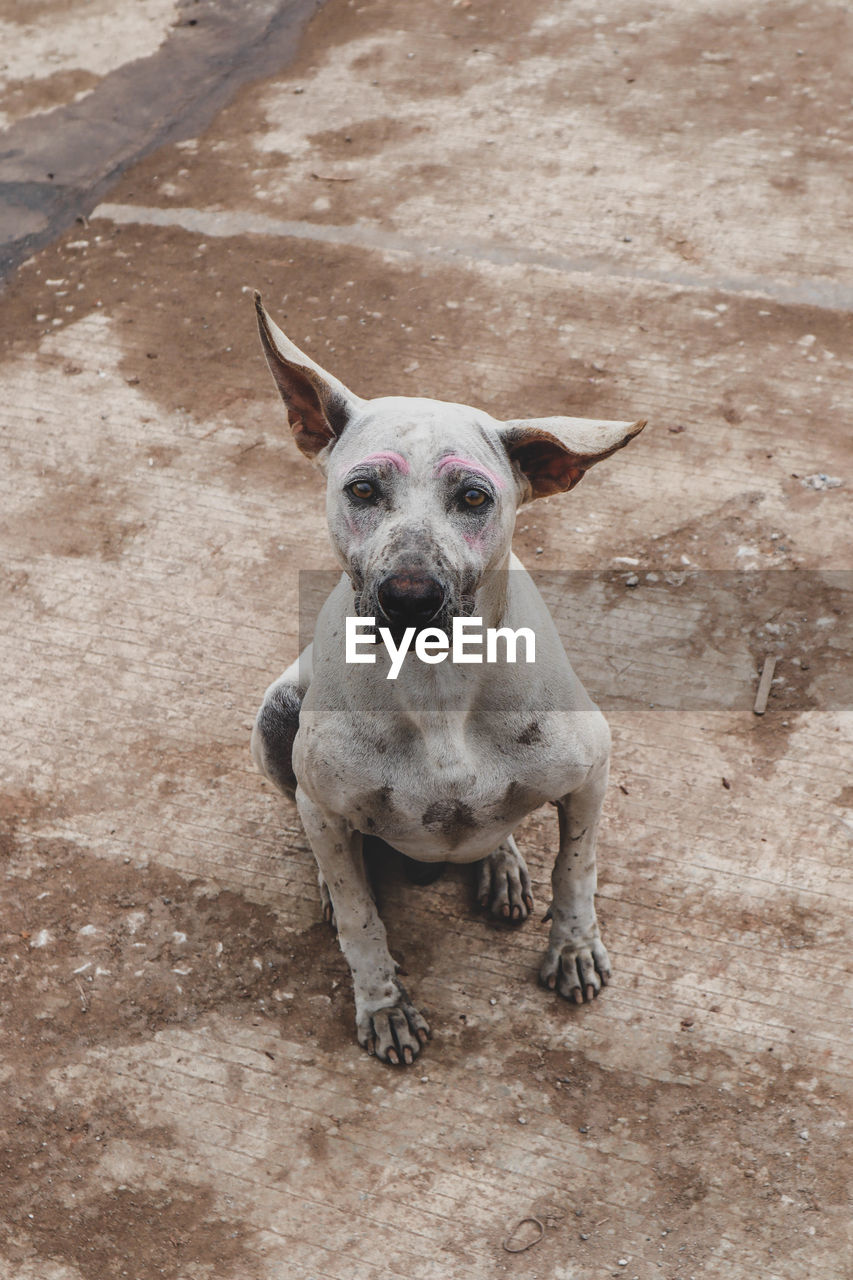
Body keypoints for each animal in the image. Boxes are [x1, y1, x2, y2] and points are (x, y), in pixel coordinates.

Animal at [249, 294, 640, 1064]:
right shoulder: (326, 802)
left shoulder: (591, 773)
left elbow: (576, 869)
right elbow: (361, 921)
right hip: (276, 714)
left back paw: (501, 864)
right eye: (363, 489)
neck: (438, 688)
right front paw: (383, 1003)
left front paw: (574, 947)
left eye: (474, 498)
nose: (409, 595)